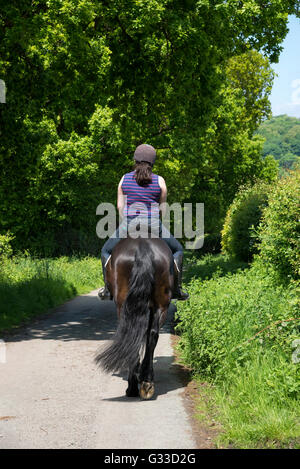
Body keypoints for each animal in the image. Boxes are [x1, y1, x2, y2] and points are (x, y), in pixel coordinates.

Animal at [94, 236, 173, 396]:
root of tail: (143, 246)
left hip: (124, 305)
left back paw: (133, 386)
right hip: (160, 305)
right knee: (150, 335)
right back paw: (146, 381)